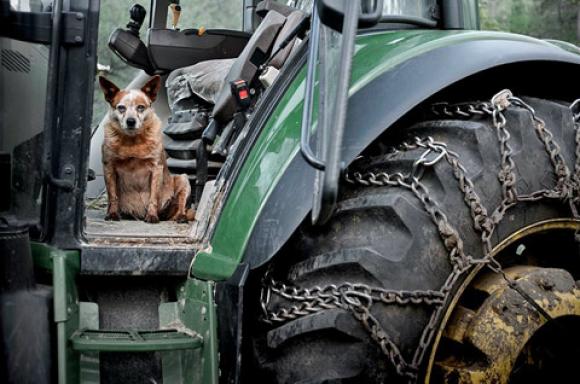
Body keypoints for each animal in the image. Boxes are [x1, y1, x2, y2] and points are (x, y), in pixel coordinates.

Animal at [97, 75, 193, 224]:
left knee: (182, 205)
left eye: (140, 107)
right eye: (121, 108)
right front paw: (112, 214)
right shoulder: (109, 167)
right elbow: (112, 195)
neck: (132, 142)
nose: (131, 121)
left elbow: (153, 196)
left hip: (183, 179)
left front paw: (152, 216)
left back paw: (180, 216)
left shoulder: (156, 168)